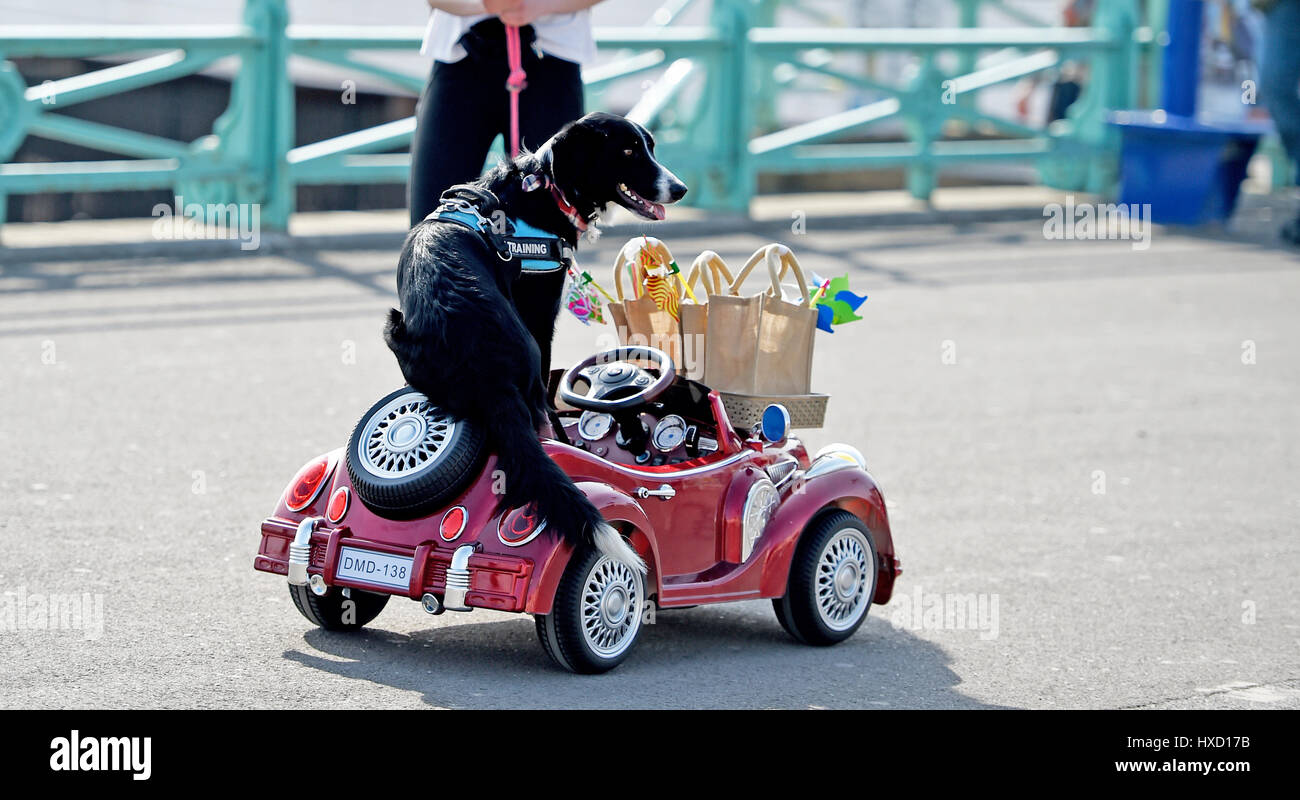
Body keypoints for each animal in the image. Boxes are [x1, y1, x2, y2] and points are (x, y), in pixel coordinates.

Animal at [384, 112, 691, 572]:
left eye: (650, 147)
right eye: (628, 151)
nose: (681, 188)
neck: (546, 187)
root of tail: (481, 368)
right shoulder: (541, 312)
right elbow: (549, 393)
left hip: (395, 327)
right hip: (526, 344)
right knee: (539, 417)